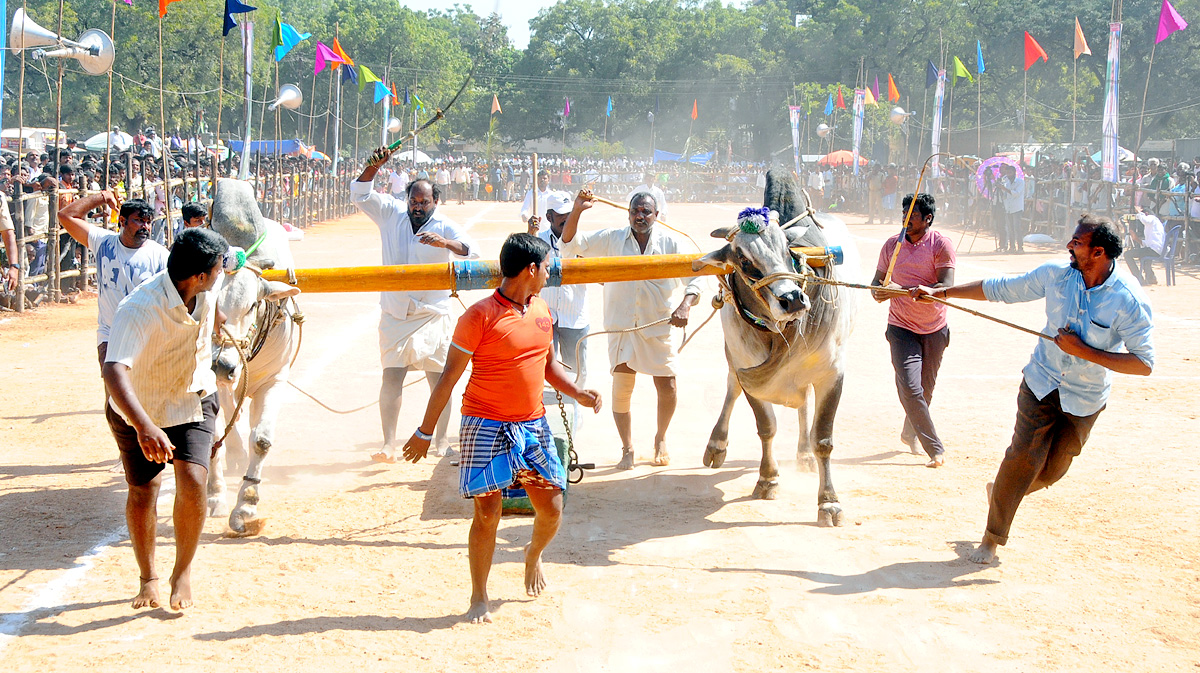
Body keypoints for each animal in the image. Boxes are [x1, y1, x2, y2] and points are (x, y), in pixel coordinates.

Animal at [206, 179, 302, 535]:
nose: (222, 365)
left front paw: (246, 505)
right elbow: (215, 435)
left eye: (251, 305)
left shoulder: (274, 379)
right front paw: (215, 496)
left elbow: (260, 440)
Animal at [696, 167, 864, 525]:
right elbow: (766, 427)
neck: (777, 332)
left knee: (804, 407)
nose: (793, 299)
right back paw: (717, 444)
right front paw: (768, 479)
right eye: (743, 260)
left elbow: (823, 438)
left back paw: (803, 454)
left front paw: (829, 502)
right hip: (735, 360)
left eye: (789, 248)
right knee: (731, 389)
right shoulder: (749, 371)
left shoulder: (831, 373)